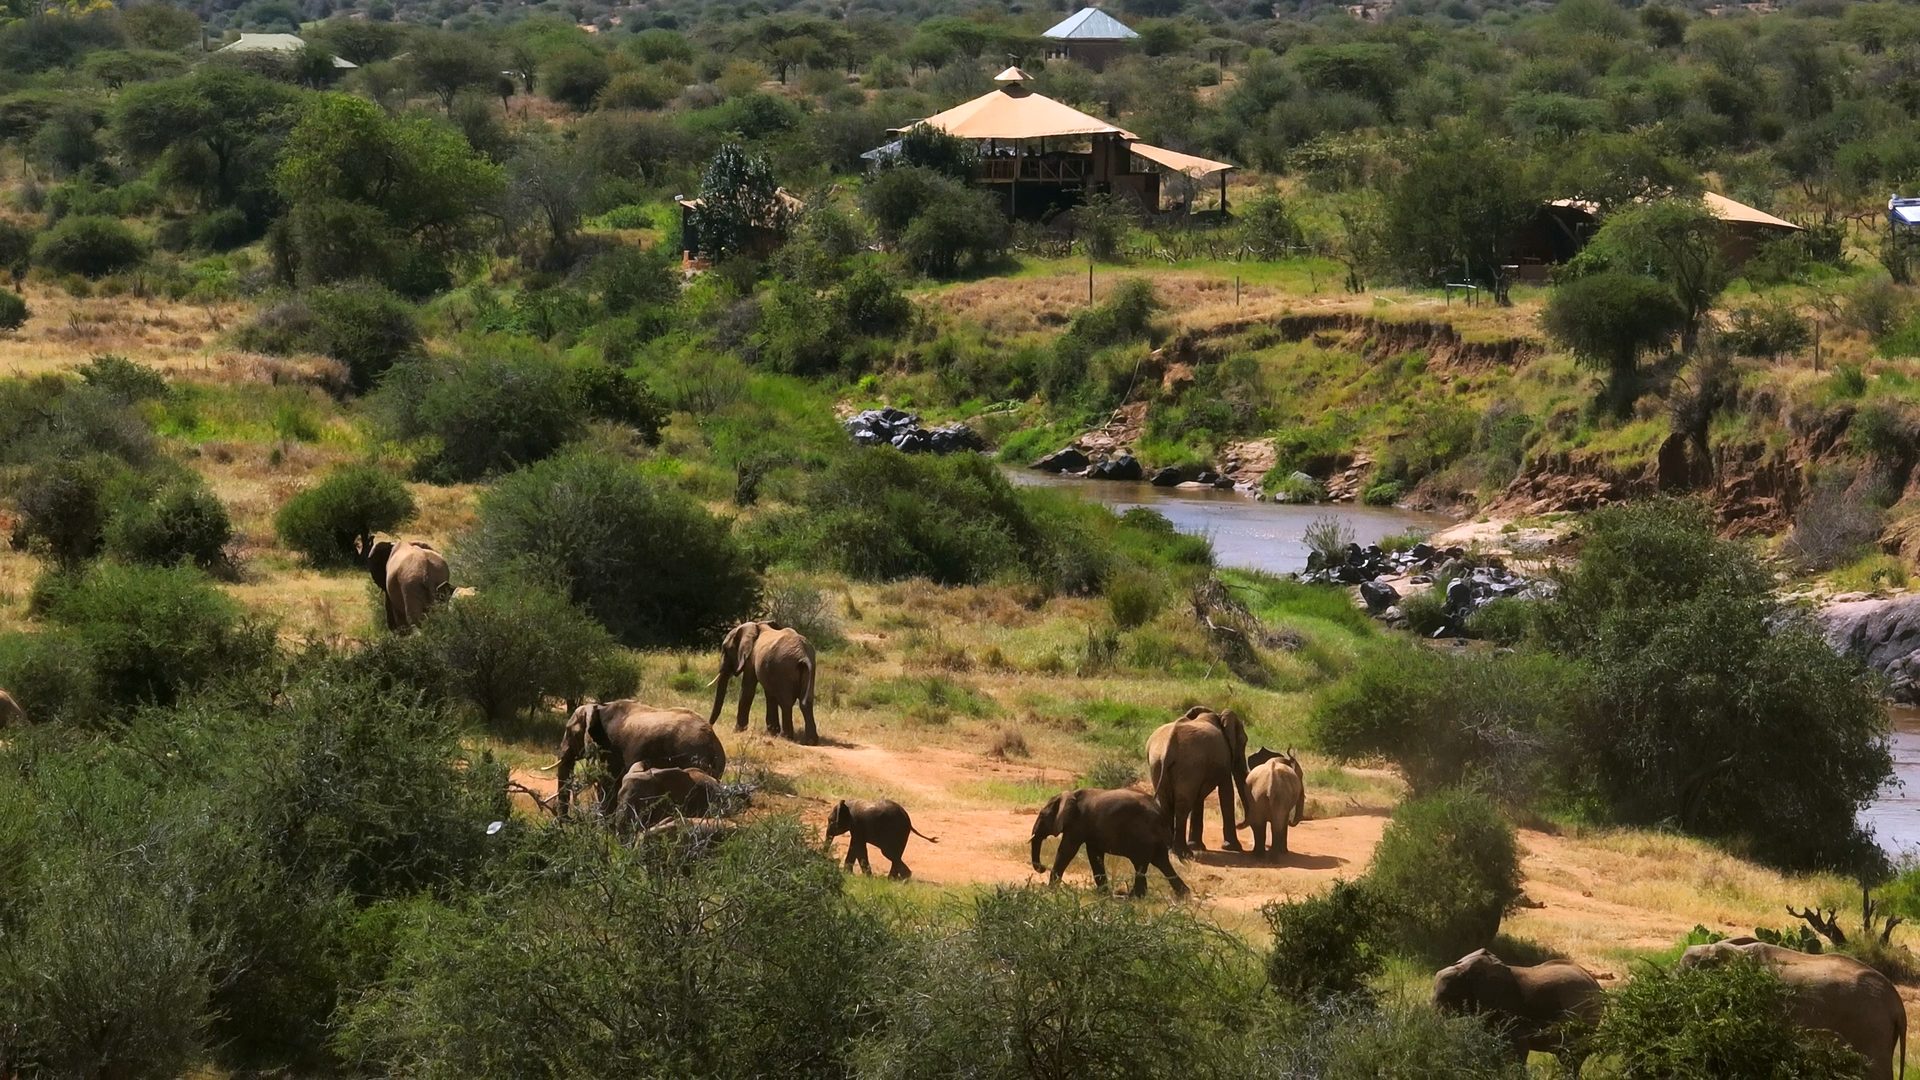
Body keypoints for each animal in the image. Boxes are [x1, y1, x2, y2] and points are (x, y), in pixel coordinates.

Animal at [547, 700, 728, 817]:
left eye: (569, 731)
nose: (568, 820)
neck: (598, 707)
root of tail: (714, 741)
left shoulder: (611, 746)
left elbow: (608, 785)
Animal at [1030, 787, 1190, 899]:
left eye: (1042, 815)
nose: (1042, 868)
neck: (1071, 794)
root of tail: (1161, 815)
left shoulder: (1077, 823)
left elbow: (1067, 850)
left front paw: (1049, 890)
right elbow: (1094, 855)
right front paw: (1102, 893)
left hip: (1143, 837)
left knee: (1141, 864)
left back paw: (1130, 897)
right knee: (1160, 862)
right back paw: (1183, 895)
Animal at [1146, 706, 1251, 858]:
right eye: (1244, 742)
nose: (1240, 824)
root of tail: (1168, 748)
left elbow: (1199, 797)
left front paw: (1198, 846)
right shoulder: (1223, 758)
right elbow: (1226, 792)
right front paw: (1234, 848)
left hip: (1157, 763)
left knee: (1167, 803)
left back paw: (1171, 849)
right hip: (1187, 764)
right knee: (1183, 805)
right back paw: (1184, 853)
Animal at [1432, 949, 1604, 1069]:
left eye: (1449, 996)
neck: (1464, 968)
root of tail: (1595, 984)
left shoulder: (1509, 1007)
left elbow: (1518, 1049)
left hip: (1581, 1013)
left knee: (1571, 1055)